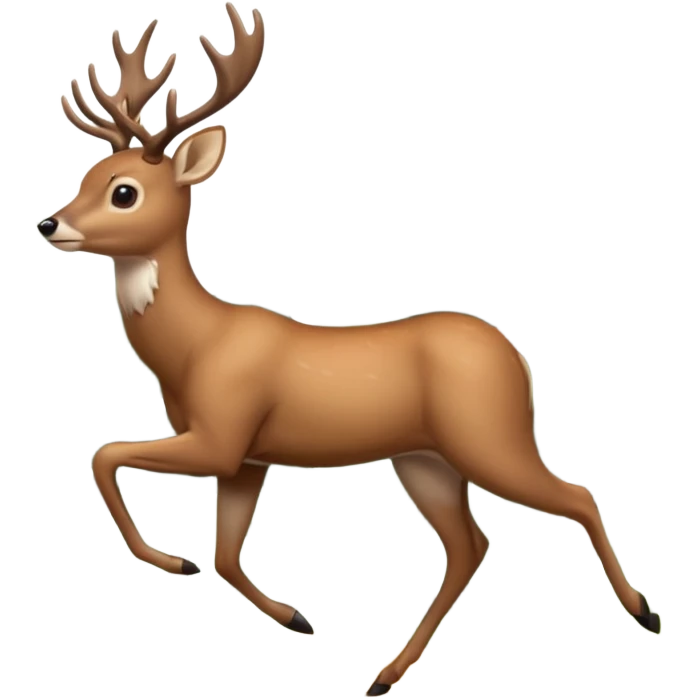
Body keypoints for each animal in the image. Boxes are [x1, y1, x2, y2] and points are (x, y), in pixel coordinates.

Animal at [36, 2, 662, 695]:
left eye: (124, 191)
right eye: (87, 176)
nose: (49, 222)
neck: (197, 349)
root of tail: (515, 358)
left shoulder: (222, 433)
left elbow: (105, 455)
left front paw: (173, 562)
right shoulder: (247, 458)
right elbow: (225, 554)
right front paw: (296, 616)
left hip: (488, 437)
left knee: (574, 496)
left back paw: (645, 612)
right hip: (424, 459)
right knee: (470, 544)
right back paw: (384, 675)